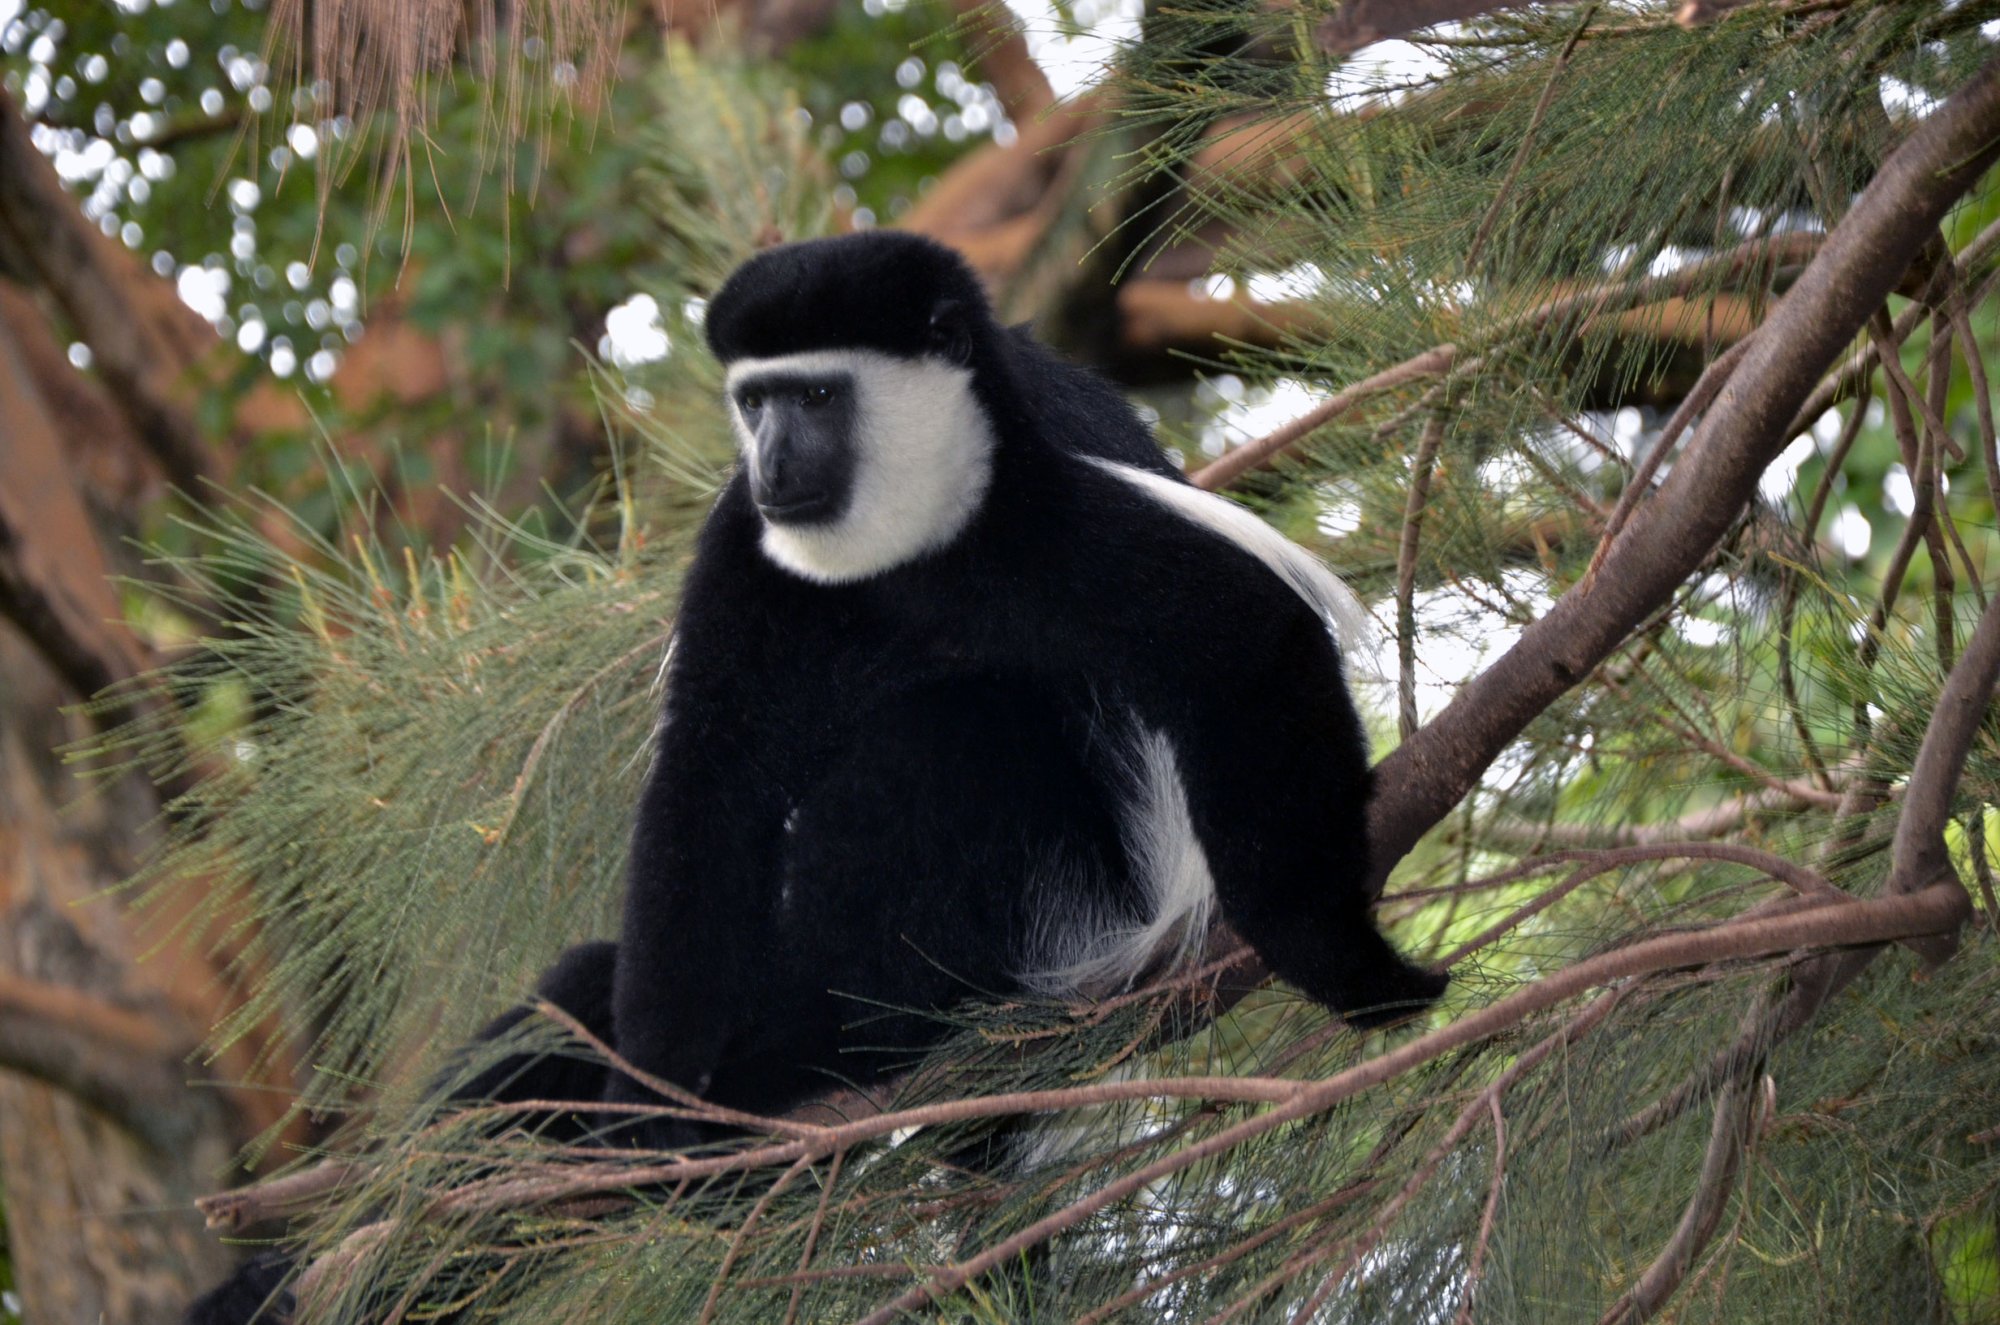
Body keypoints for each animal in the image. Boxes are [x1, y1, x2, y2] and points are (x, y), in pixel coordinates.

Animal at [184, 236, 1440, 1325]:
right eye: (755, 401)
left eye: (821, 398)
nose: (774, 460)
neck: (908, 553)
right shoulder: (748, 547)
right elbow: (709, 776)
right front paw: (655, 1117)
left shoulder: (1046, 508)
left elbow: (1244, 636)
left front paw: (1342, 957)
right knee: (571, 1000)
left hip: (1064, 909)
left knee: (950, 737)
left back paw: (824, 1048)